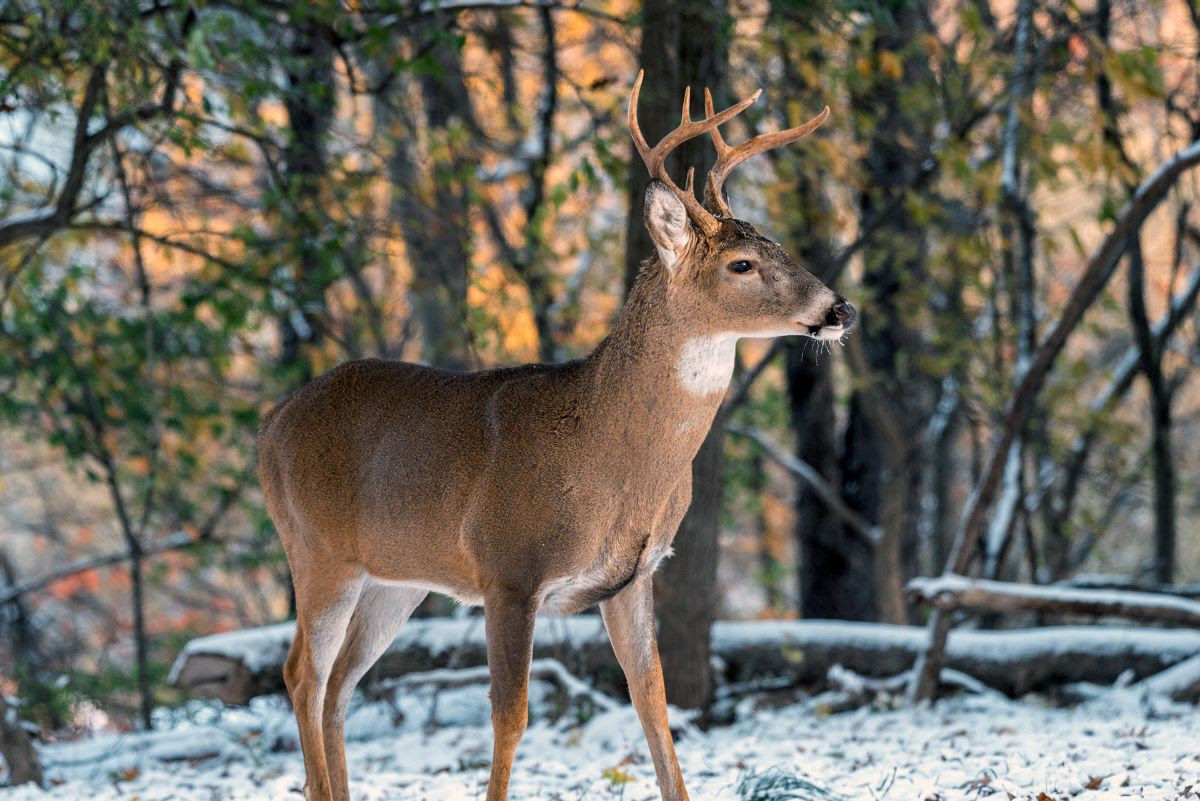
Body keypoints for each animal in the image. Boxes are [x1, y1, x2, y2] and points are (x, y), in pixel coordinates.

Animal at [258, 70, 856, 801]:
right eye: (742, 263)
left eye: (779, 246)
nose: (838, 309)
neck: (609, 452)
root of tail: (271, 423)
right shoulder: (510, 568)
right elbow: (510, 715)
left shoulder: (633, 575)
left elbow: (654, 704)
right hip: (317, 552)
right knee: (302, 674)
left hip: (395, 578)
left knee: (341, 684)